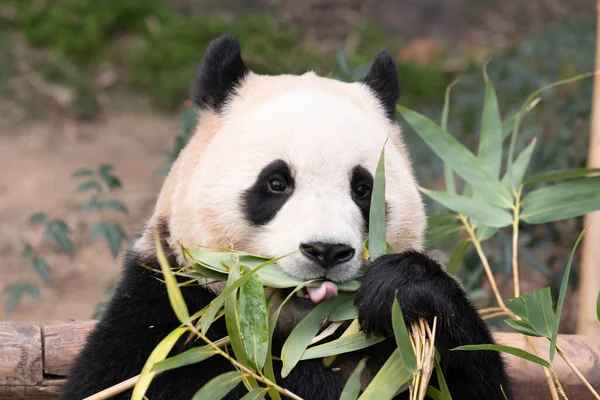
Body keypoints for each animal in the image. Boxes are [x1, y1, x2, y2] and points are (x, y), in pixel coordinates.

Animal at [59, 35, 510, 400]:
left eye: (363, 189)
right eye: (277, 183)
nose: (326, 251)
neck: (299, 327)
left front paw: (405, 287)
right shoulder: (167, 305)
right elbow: (141, 379)